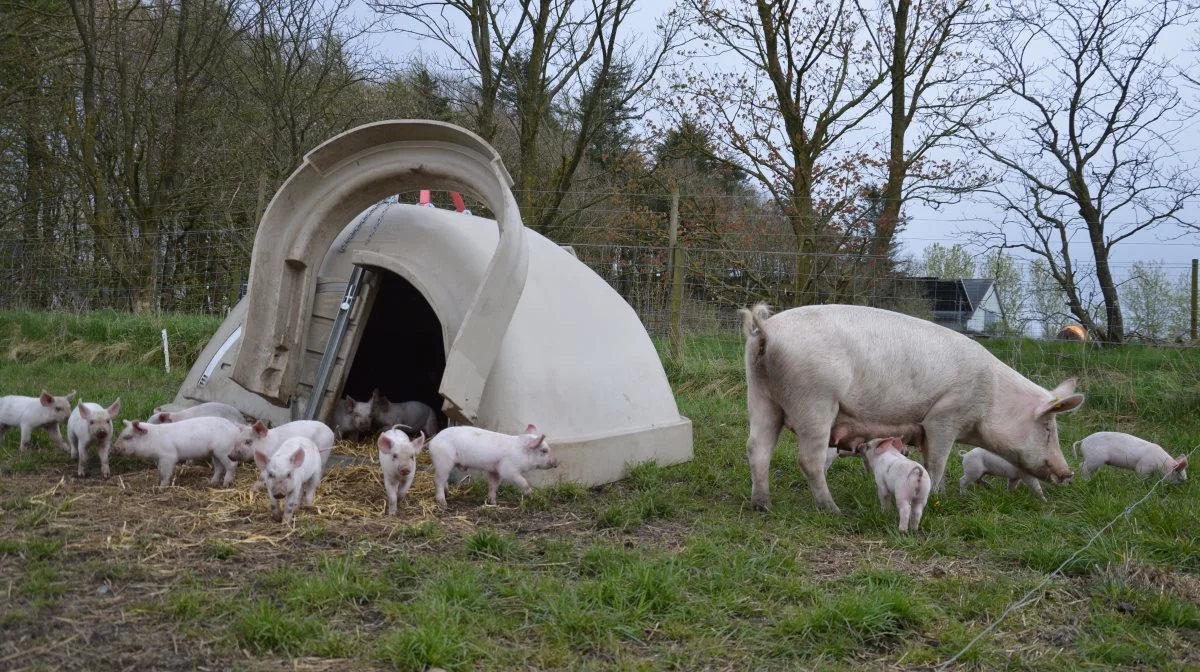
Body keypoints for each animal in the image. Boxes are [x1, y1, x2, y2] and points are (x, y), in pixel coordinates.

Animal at [734, 302, 1084, 511]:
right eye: (1048, 427)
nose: (1068, 473)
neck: (993, 398)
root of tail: (766, 332)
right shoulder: (944, 417)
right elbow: (937, 462)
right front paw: (939, 497)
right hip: (815, 399)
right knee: (808, 459)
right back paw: (832, 509)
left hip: (760, 395)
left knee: (756, 448)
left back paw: (761, 505)